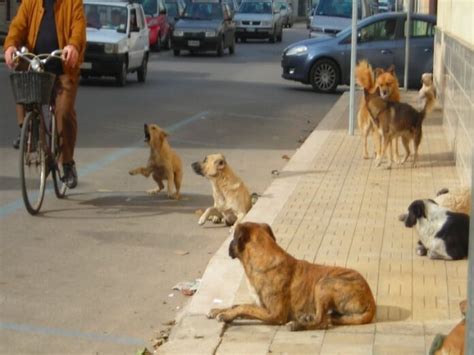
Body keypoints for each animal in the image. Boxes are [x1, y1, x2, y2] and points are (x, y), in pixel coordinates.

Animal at [209, 222, 376, 330]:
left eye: (233, 237)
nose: (228, 247)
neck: (262, 259)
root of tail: (371, 301)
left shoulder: (275, 314)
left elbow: (244, 307)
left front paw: (226, 315)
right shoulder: (261, 306)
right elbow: (237, 305)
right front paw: (219, 310)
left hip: (324, 283)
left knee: (322, 321)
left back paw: (298, 324)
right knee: (327, 318)